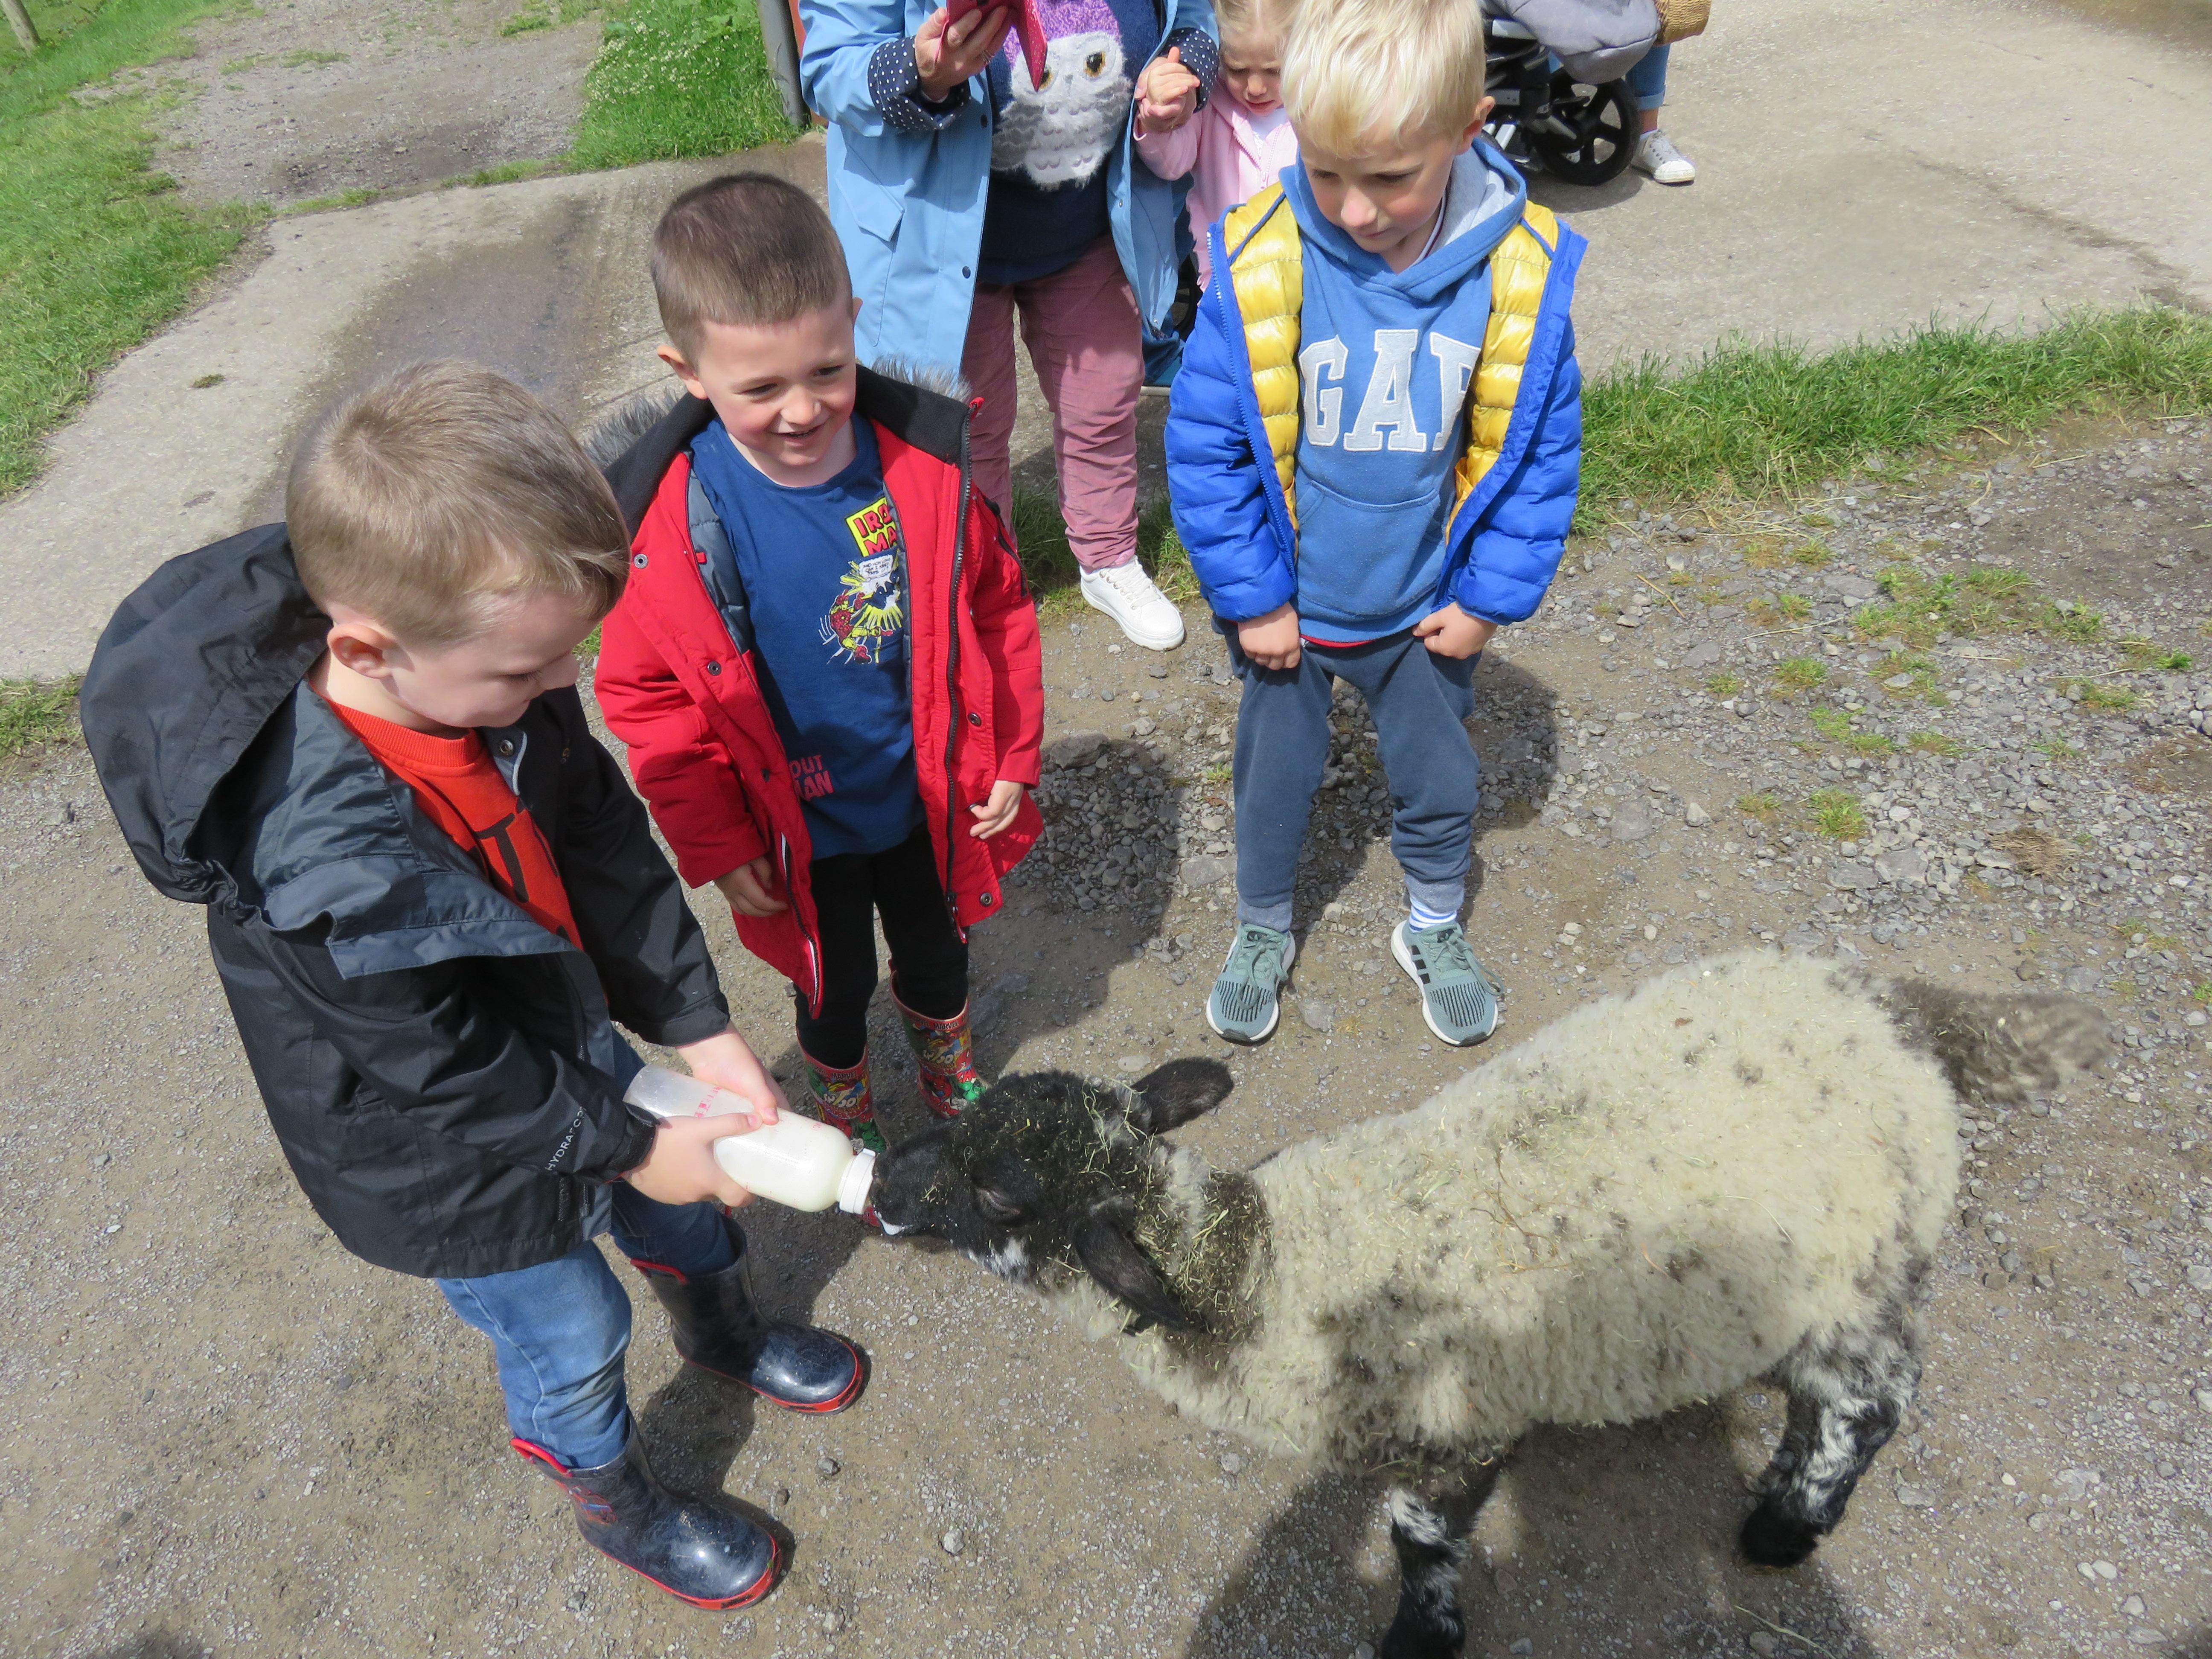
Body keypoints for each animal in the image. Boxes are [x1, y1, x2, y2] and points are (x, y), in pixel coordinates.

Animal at [868, 949, 2108, 1657]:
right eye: (972, 1120)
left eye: (996, 1191)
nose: (879, 1184)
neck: (1270, 1271)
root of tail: (1896, 1012)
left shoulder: (1458, 1429)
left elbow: (1418, 1539)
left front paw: (1419, 1641)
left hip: (1865, 1261)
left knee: (1870, 1401)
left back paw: (1782, 1528)